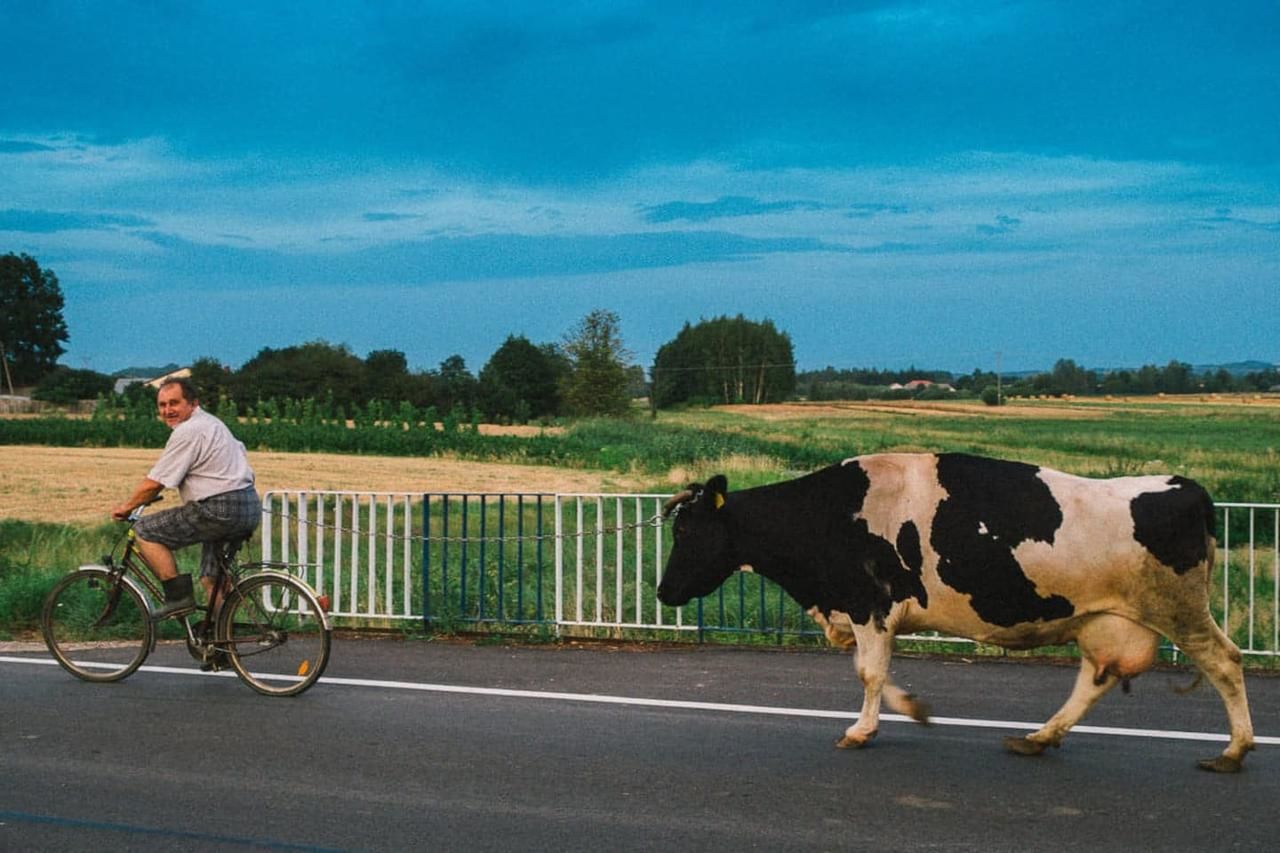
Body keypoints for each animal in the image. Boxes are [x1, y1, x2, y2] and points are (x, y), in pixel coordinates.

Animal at [655, 450, 1254, 768]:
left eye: (686, 532)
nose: (662, 592)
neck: (826, 515)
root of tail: (1185, 487)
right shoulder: (868, 611)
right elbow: (872, 670)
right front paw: (912, 708)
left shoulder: (869, 604)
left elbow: (869, 672)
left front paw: (861, 730)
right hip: (1104, 621)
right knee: (1095, 679)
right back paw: (1039, 737)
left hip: (1180, 610)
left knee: (1225, 662)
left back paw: (1234, 750)